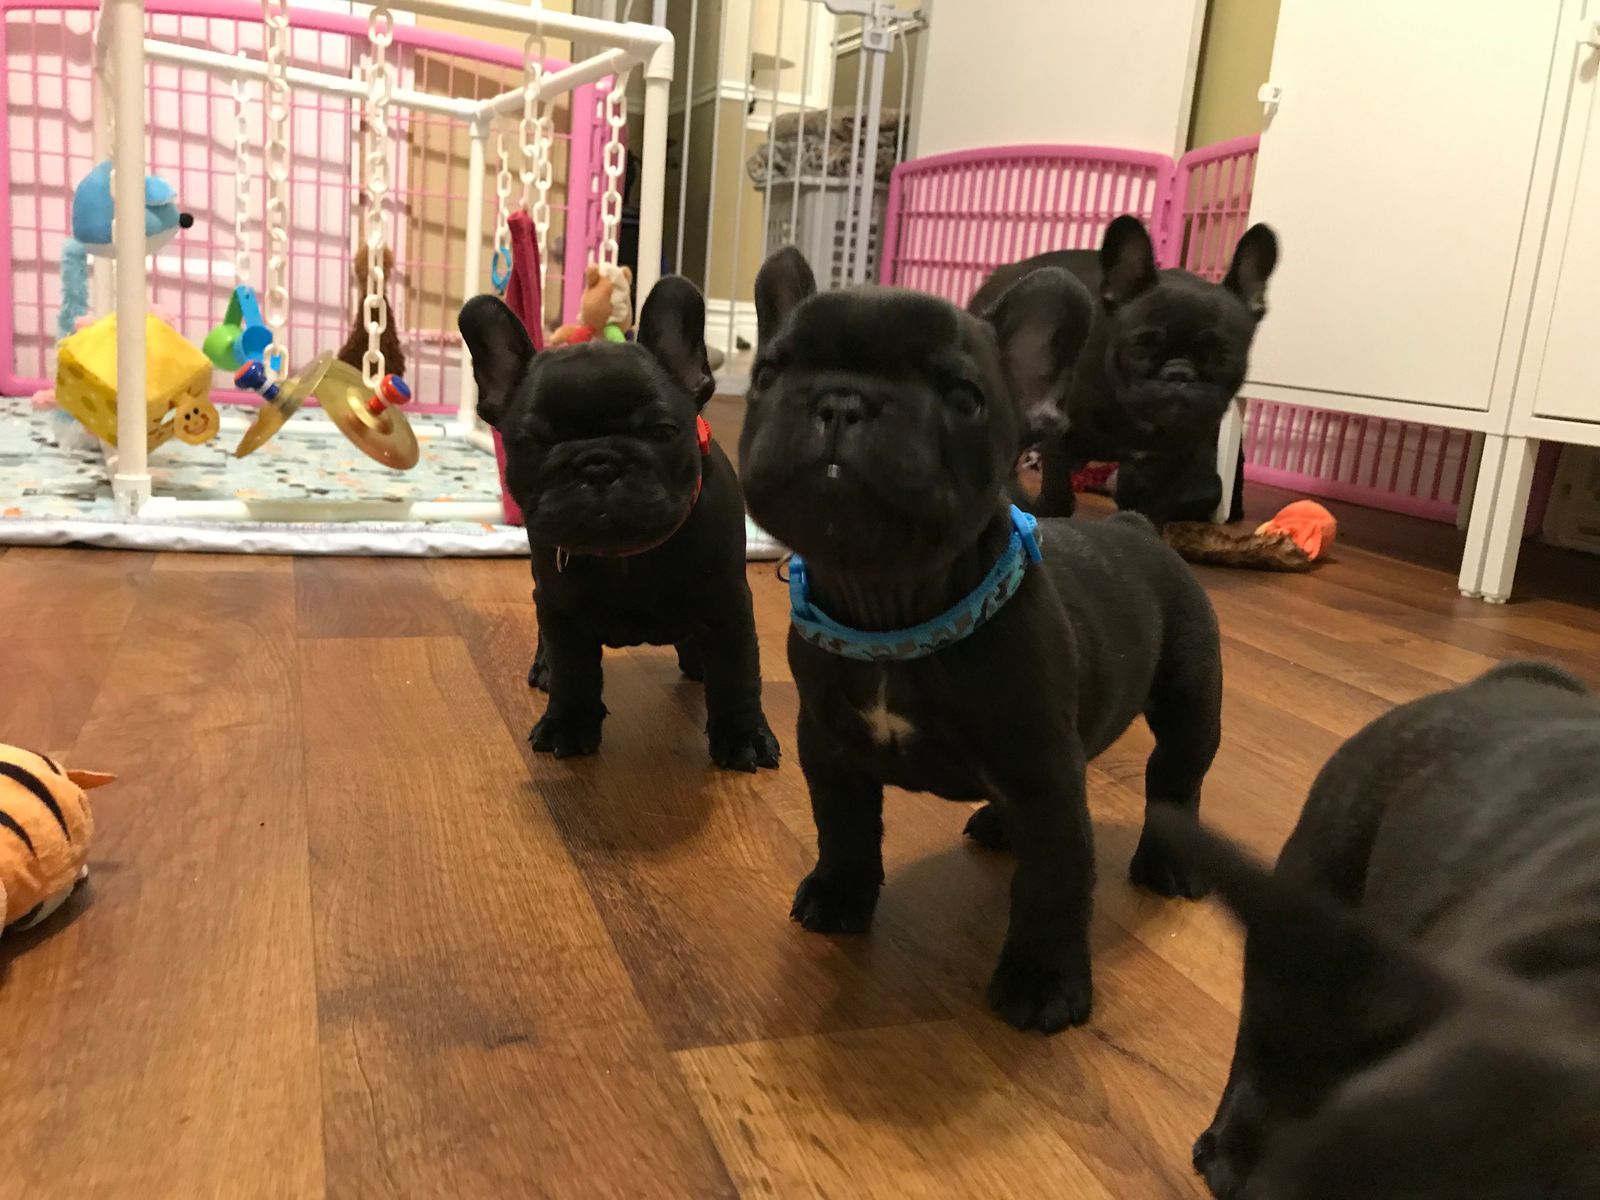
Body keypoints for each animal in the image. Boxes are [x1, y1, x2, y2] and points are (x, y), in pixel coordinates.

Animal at [458, 276, 780, 772]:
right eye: (530, 443)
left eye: (663, 432)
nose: (597, 464)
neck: (625, 555)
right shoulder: (560, 607)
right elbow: (572, 669)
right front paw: (567, 722)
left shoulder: (728, 604)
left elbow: (737, 673)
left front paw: (742, 734)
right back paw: (544, 667)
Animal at [739, 245, 1223, 1032]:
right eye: (767, 376)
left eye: (964, 397)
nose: (842, 401)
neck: (890, 612)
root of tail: (1135, 527)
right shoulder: (830, 748)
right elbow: (843, 827)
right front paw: (841, 895)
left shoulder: (1047, 774)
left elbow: (1053, 881)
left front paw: (1043, 980)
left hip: (1189, 698)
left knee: (1176, 778)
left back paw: (1166, 862)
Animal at [970, 217, 1276, 525]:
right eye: (1140, 348)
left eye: (1222, 357)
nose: (1179, 374)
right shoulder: (1060, 439)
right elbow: (1057, 487)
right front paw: (1049, 512)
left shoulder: (1171, 461)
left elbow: (1155, 504)